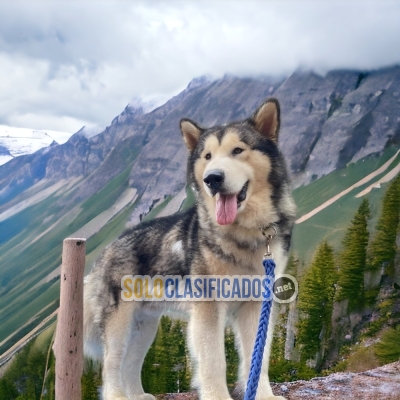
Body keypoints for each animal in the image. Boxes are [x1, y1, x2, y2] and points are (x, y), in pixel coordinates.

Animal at [83, 97, 296, 400]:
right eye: (207, 156)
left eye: (238, 150)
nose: (212, 178)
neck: (246, 234)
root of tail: (107, 249)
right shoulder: (208, 308)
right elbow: (214, 360)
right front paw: (218, 396)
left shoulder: (256, 305)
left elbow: (257, 359)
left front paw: (263, 395)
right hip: (119, 324)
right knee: (110, 366)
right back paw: (118, 396)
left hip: (145, 326)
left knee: (130, 364)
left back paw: (138, 395)